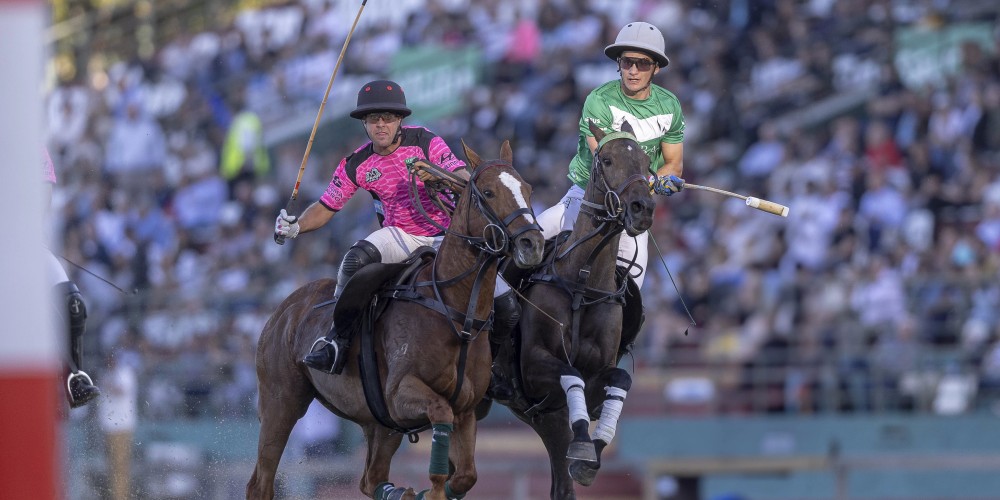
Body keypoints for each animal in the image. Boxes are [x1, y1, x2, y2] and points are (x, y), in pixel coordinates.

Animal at [250, 141, 548, 500]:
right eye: (488, 192)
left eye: (528, 190)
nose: (532, 244)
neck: (452, 307)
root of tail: (284, 308)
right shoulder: (400, 393)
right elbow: (440, 422)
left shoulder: (465, 409)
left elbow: (466, 476)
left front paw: (421, 491)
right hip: (281, 400)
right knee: (261, 482)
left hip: (378, 421)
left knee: (370, 478)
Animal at [494, 122, 652, 500]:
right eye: (606, 160)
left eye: (646, 161)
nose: (643, 207)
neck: (582, 279)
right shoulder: (532, 367)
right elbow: (570, 372)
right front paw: (583, 446)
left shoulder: (595, 377)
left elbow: (619, 378)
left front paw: (590, 451)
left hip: (545, 417)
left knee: (561, 488)